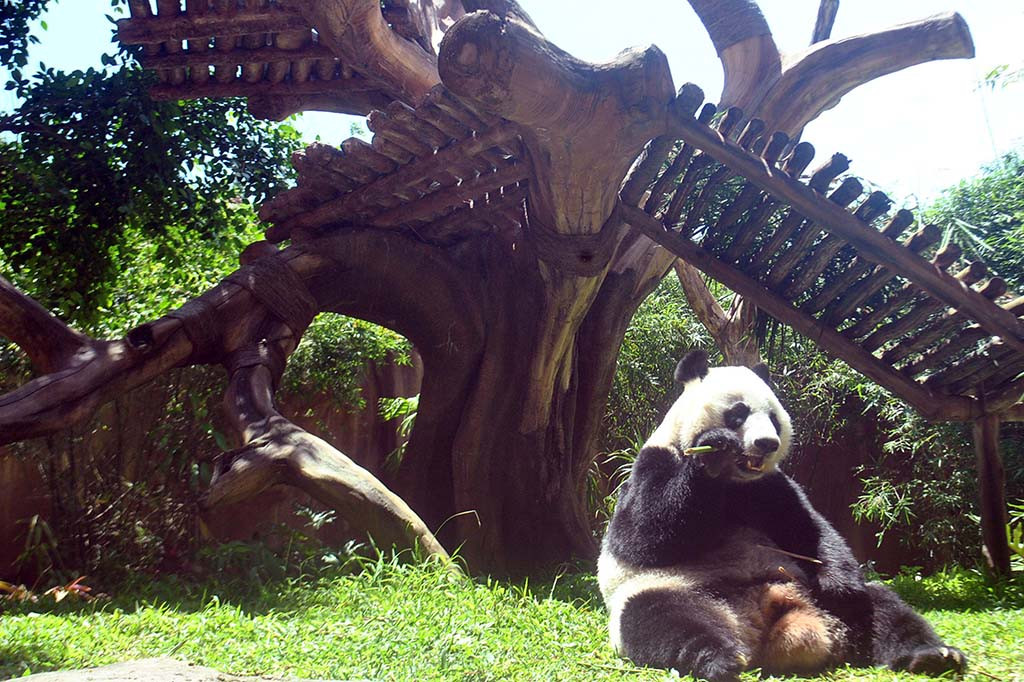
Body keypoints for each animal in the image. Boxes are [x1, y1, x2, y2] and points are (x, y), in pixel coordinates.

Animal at [598, 350, 966, 681]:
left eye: (774, 418)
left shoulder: (771, 487)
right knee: (663, 619)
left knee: (883, 607)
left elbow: (810, 530)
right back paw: (718, 659)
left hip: (817, 595)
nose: (766, 443)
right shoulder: (653, 462)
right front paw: (713, 452)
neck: (734, 481)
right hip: (671, 590)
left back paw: (933, 655)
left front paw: (838, 584)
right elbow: (643, 536)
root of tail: (765, 619)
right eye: (738, 413)